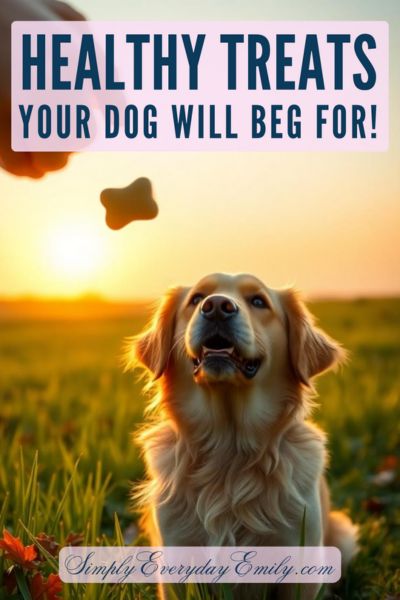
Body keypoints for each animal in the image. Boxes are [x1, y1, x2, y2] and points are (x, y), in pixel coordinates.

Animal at [127, 274, 356, 596]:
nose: (216, 307)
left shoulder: (300, 554)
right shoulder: (175, 553)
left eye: (258, 301)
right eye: (196, 299)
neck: (229, 445)